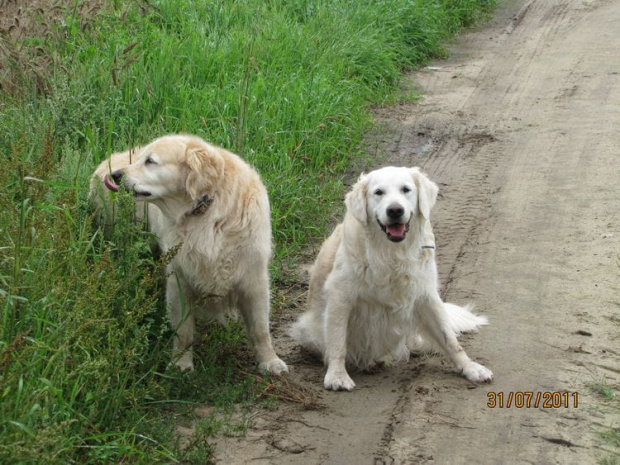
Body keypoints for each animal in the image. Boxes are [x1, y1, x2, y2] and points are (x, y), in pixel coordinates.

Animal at [90, 133, 288, 374]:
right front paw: (181, 364)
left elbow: (260, 329)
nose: (115, 175)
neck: (207, 211)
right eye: (140, 159)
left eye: (150, 161)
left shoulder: (254, 280)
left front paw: (270, 361)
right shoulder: (179, 280)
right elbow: (183, 331)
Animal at [292, 165, 494, 390]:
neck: (392, 254)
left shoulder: (426, 296)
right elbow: (338, 340)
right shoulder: (340, 296)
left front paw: (470, 367)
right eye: (378, 192)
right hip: (309, 329)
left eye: (406, 189)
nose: (395, 210)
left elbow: (450, 339)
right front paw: (337, 376)